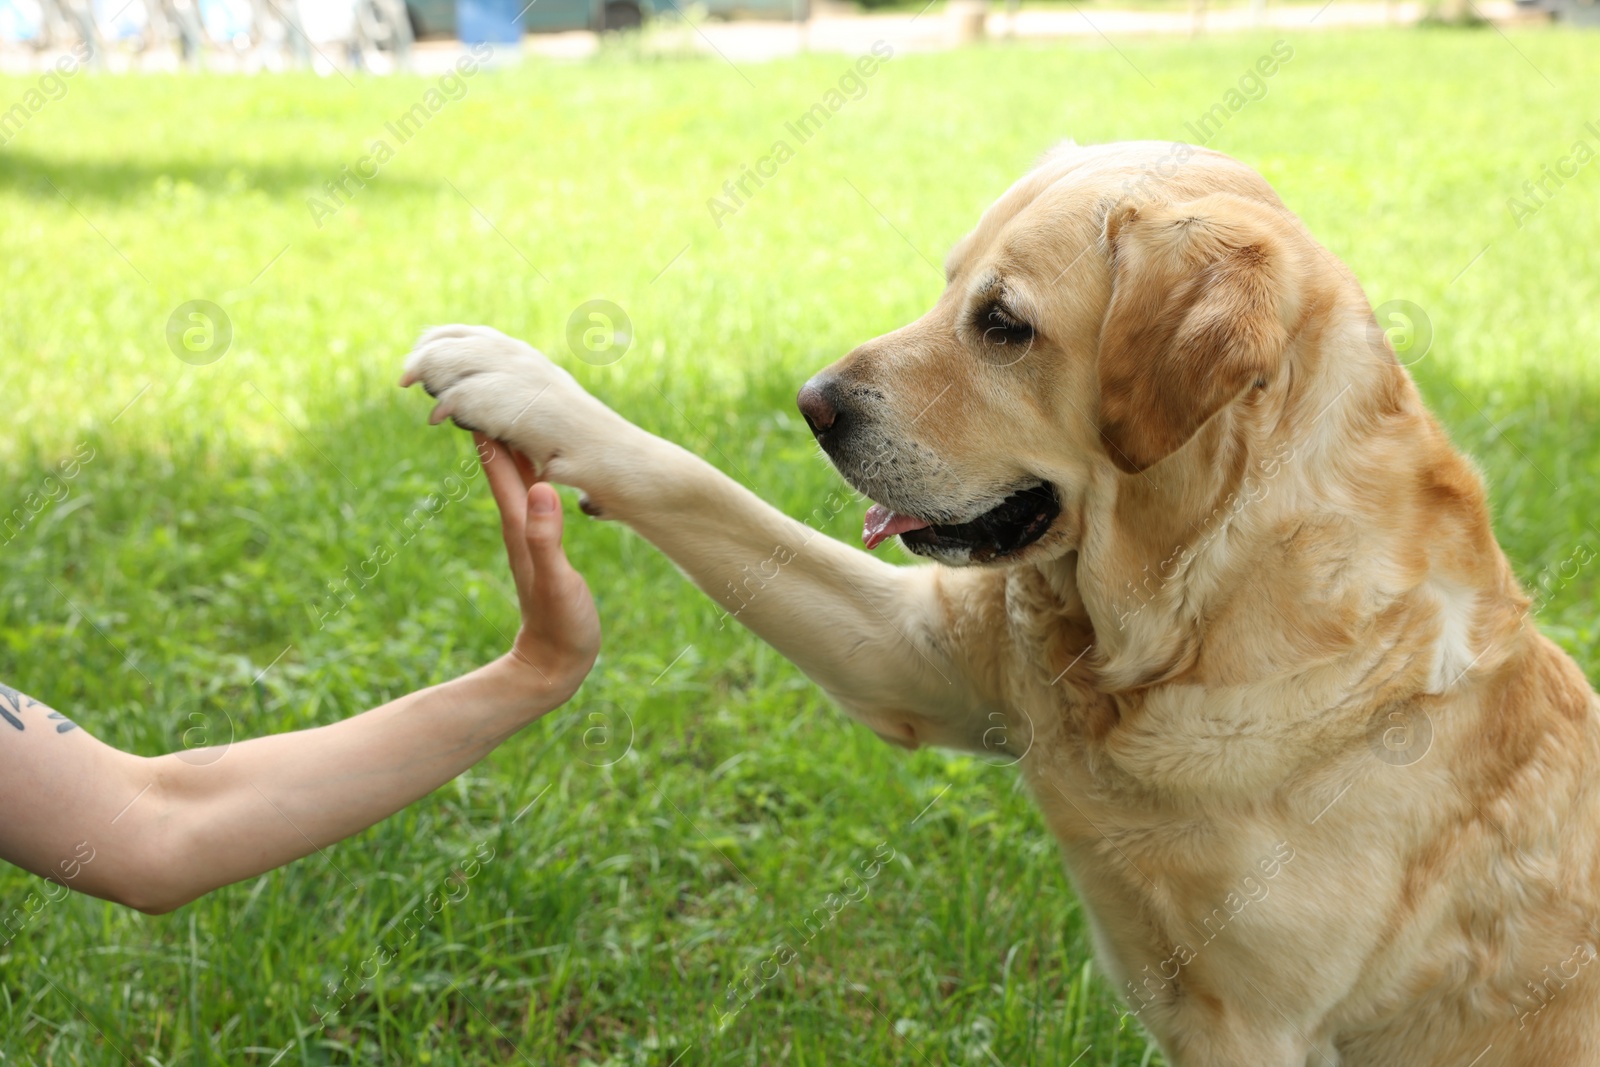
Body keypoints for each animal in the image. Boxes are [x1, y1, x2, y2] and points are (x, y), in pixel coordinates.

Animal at [400, 143, 1600, 1067]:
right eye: (948, 287)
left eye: (1004, 324)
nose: (811, 405)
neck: (1182, 622)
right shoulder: (918, 656)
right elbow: (699, 483)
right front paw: (514, 376)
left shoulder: (1255, 1026)